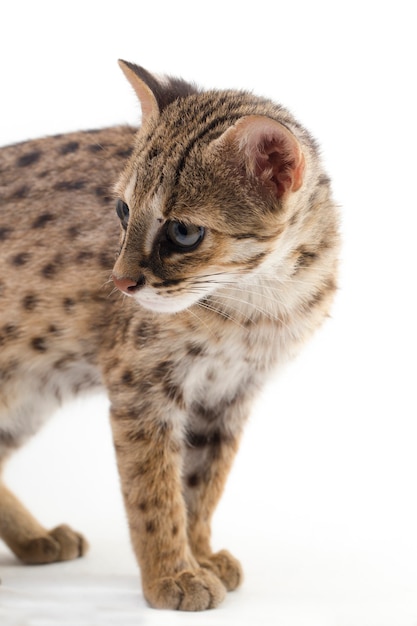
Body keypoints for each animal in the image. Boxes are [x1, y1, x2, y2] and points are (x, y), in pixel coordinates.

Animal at [0, 61, 338, 608]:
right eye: (122, 210)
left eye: (183, 232)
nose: (120, 282)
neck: (258, 303)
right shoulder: (142, 386)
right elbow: (153, 490)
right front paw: (171, 576)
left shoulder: (228, 396)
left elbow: (201, 485)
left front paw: (199, 555)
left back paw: (36, 539)